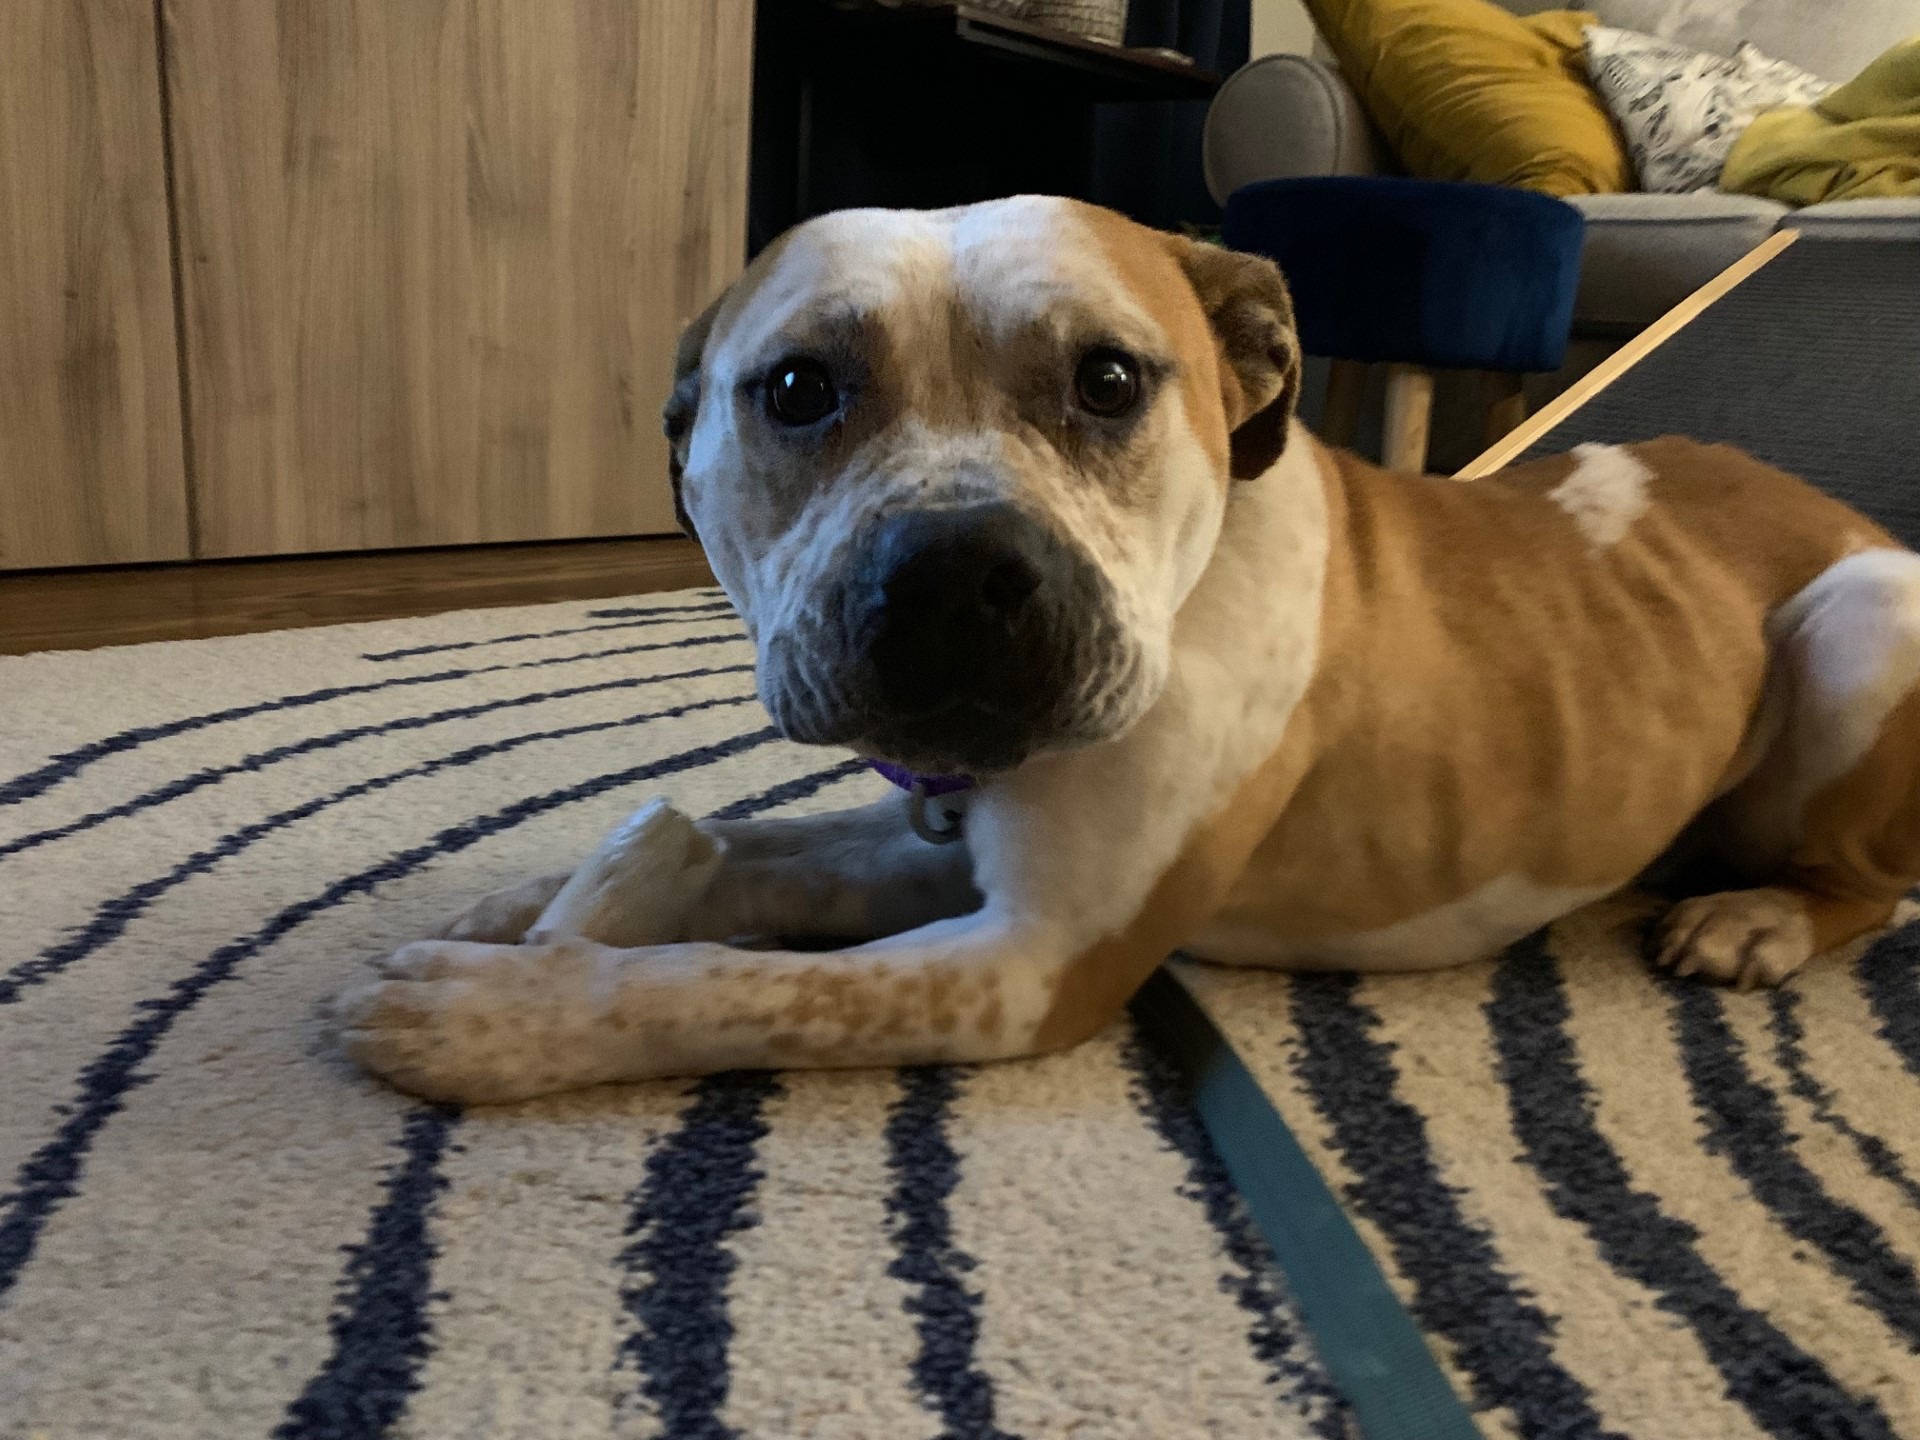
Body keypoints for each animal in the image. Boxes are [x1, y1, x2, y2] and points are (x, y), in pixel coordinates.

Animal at [337, 194, 1920, 1105]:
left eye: (1108, 380)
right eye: (795, 389)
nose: (957, 570)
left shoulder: (1034, 960)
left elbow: (729, 985)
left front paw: (502, 1015)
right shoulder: (944, 840)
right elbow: (743, 850)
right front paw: (529, 905)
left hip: (1860, 625)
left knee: (1873, 886)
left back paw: (1758, 919)